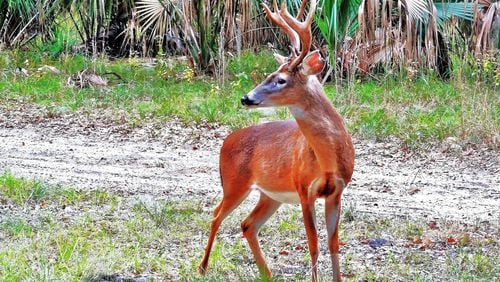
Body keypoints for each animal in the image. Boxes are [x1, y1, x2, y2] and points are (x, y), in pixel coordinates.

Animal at [197, 1, 354, 280]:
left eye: (281, 79)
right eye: (269, 75)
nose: (246, 98)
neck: (327, 160)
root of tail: (226, 141)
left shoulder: (337, 190)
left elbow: (333, 244)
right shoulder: (304, 189)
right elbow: (313, 244)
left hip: (270, 195)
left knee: (247, 224)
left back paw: (267, 273)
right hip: (234, 183)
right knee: (216, 215)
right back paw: (203, 267)